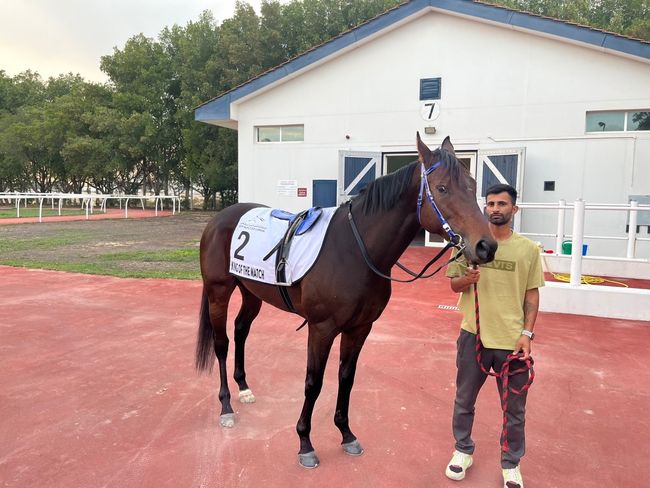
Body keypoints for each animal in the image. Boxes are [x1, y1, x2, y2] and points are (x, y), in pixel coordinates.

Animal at [195, 133, 494, 468]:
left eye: (472, 184)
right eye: (442, 188)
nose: (486, 246)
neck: (355, 249)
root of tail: (219, 218)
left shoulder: (360, 328)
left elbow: (346, 378)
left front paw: (346, 433)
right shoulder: (321, 329)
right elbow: (313, 383)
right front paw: (305, 441)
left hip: (252, 291)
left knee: (241, 330)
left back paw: (244, 388)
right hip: (219, 292)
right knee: (221, 343)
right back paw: (226, 406)